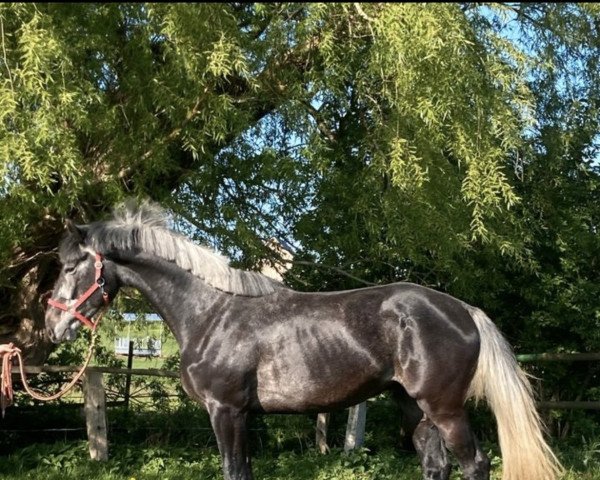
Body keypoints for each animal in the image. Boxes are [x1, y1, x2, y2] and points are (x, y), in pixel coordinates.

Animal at [43, 201, 564, 478]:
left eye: (71, 266)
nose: (52, 326)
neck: (210, 313)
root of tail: (463, 310)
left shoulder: (226, 410)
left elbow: (234, 471)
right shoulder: (239, 415)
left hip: (445, 408)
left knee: (475, 464)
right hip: (414, 407)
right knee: (435, 465)